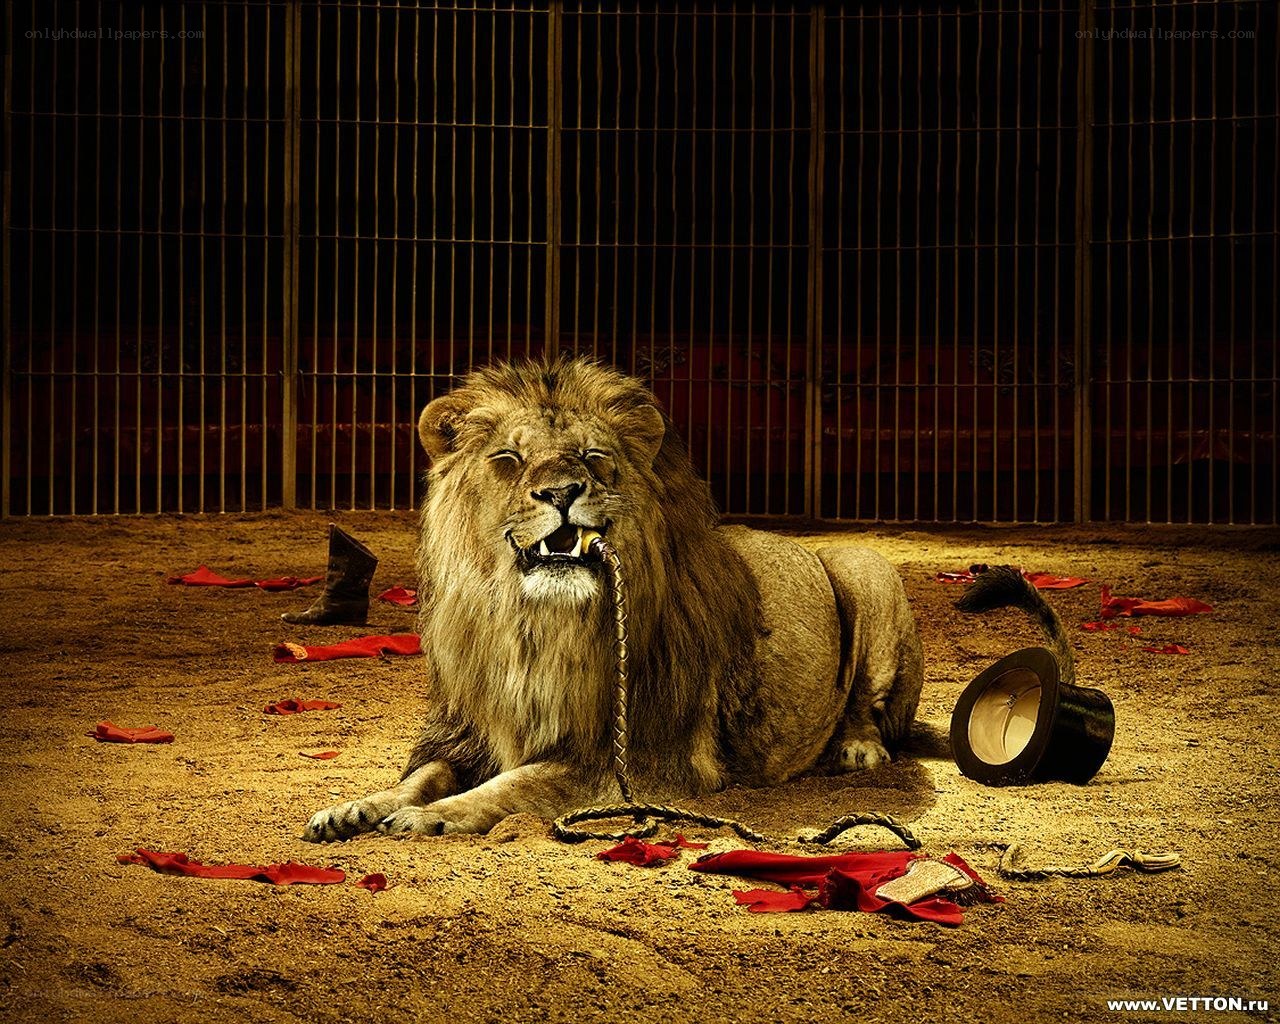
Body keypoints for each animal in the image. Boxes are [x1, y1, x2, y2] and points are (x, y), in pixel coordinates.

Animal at [303, 357, 922, 841]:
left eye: (593, 455)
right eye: (508, 459)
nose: (561, 492)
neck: (535, 626)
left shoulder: (638, 761)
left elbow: (514, 785)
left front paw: (431, 816)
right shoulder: (467, 732)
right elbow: (419, 777)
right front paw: (356, 808)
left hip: (864, 567)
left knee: (869, 704)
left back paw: (857, 750)